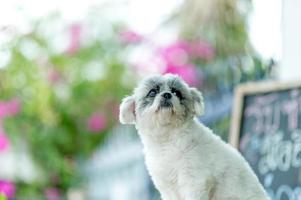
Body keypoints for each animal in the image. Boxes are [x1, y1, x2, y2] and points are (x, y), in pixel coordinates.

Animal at [118, 74, 268, 199]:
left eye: (176, 93)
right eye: (152, 92)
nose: (167, 95)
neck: (168, 140)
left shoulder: (194, 182)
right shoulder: (167, 188)